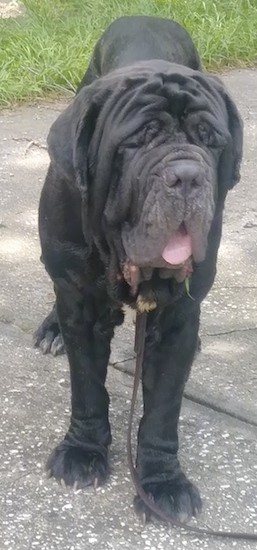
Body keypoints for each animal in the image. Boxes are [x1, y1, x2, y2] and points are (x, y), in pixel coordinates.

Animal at [34, 16, 242, 528]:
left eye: (210, 139)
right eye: (138, 139)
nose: (187, 175)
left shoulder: (176, 321)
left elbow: (163, 407)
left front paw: (162, 483)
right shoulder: (83, 309)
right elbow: (88, 388)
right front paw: (83, 452)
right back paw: (52, 328)